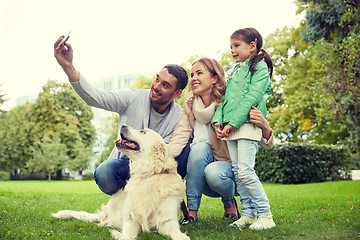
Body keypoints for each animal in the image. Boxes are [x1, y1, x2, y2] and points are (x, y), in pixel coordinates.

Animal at [52, 124, 191, 239]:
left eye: (143, 131)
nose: (123, 125)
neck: (147, 176)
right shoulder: (130, 219)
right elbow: (127, 235)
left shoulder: (167, 220)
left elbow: (176, 232)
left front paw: (182, 237)